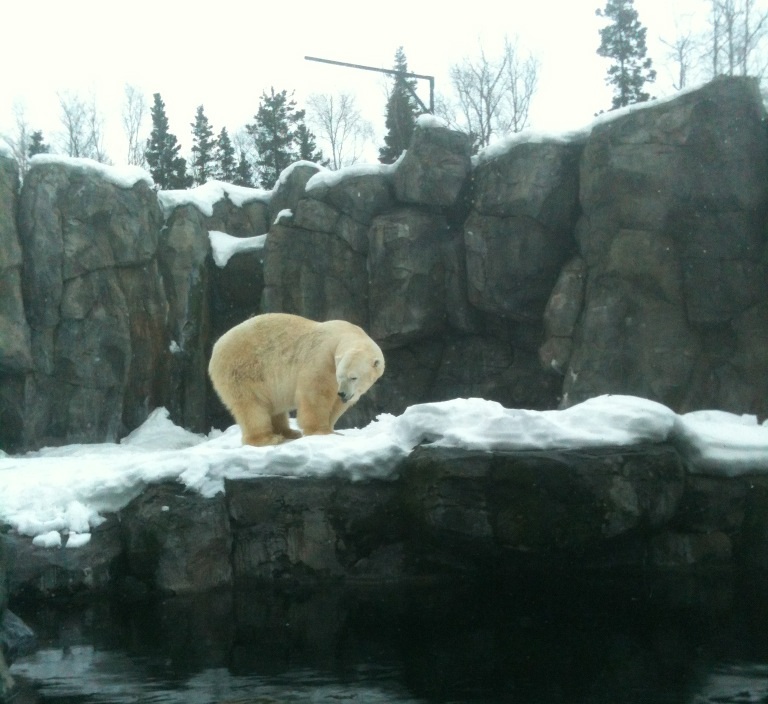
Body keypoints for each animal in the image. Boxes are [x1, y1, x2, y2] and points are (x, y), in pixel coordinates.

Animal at [208, 313, 385, 446]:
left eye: (353, 377)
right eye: (340, 376)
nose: (342, 393)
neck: (345, 333)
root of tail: (216, 348)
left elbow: (336, 406)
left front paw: (333, 430)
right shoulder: (322, 359)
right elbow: (315, 394)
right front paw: (320, 431)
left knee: (275, 407)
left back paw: (289, 432)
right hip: (243, 370)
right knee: (252, 406)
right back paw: (268, 438)